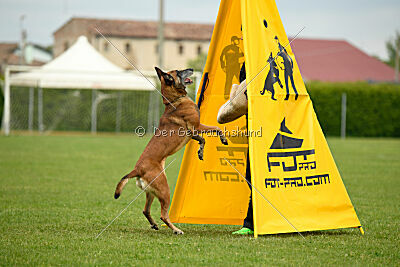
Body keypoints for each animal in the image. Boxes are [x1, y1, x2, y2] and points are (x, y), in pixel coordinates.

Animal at [114, 68, 230, 236]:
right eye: (179, 71)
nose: (191, 69)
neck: (174, 101)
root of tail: (137, 169)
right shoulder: (195, 128)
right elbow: (210, 133)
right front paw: (212, 145)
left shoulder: (196, 129)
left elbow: (210, 133)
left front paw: (206, 148)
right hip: (165, 190)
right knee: (163, 214)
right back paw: (176, 230)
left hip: (152, 192)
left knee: (145, 210)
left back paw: (155, 225)